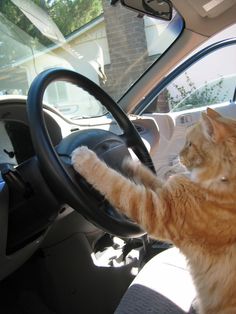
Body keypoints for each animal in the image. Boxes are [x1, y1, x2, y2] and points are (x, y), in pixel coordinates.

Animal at [71, 107, 236, 312]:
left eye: (190, 144)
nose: (178, 154)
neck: (224, 179)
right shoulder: (167, 193)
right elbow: (149, 176)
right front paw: (131, 164)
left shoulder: (155, 210)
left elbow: (113, 182)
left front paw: (84, 158)